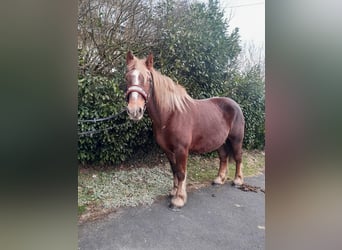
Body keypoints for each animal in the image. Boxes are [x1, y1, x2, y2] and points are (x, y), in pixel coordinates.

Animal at [125, 50, 246, 209]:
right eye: (127, 77)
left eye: (148, 79)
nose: (134, 111)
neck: (171, 115)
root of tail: (235, 105)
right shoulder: (168, 150)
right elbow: (174, 170)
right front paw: (174, 191)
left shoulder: (181, 149)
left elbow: (181, 172)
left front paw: (179, 199)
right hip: (220, 141)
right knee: (223, 157)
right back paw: (219, 179)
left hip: (236, 139)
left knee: (238, 157)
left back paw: (238, 180)